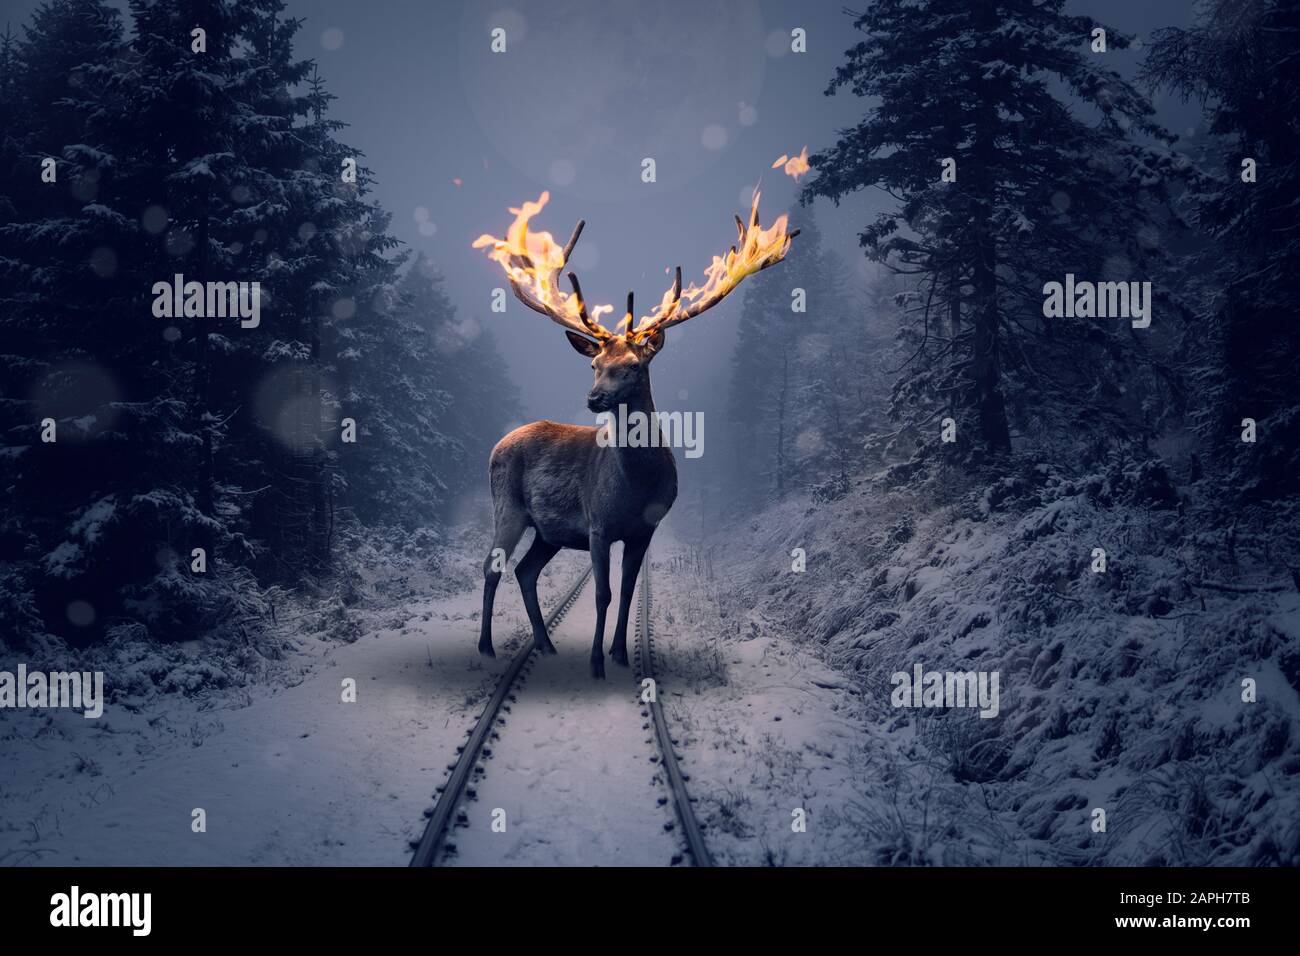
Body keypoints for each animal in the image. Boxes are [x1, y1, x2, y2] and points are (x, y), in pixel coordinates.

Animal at [472, 191, 797, 677]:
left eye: (632, 366)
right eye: (594, 364)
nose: (594, 398)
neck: (635, 486)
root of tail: (497, 445)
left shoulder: (645, 529)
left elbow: (626, 591)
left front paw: (621, 654)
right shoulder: (597, 524)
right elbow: (602, 593)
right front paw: (595, 662)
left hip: (548, 531)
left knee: (525, 571)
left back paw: (546, 645)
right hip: (507, 505)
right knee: (492, 567)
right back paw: (487, 648)